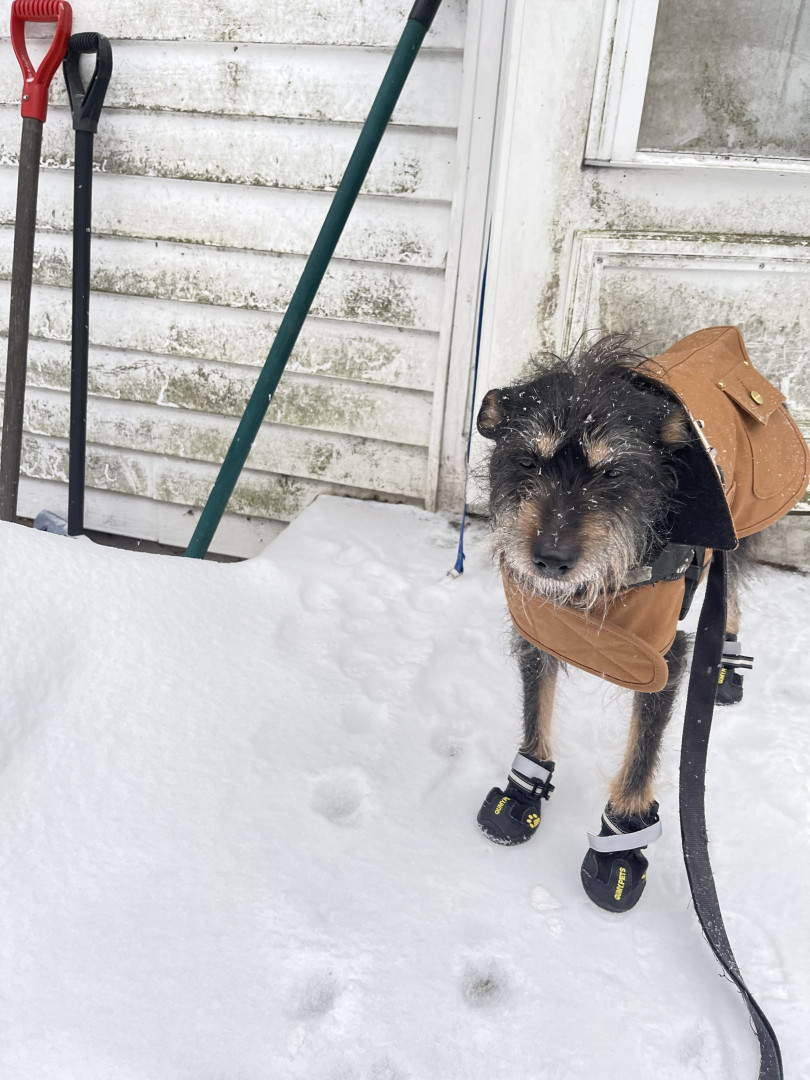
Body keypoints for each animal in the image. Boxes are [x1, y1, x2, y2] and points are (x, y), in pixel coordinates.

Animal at [474, 326, 809, 912]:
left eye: (613, 472)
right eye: (528, 462)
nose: (550, 559)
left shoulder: (663, 657)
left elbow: (642, 752)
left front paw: (621, 843)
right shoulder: (540, 626)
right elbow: (535, 711)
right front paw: (522, 790)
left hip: (740, 534)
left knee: (730, 591)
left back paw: (727, 663)